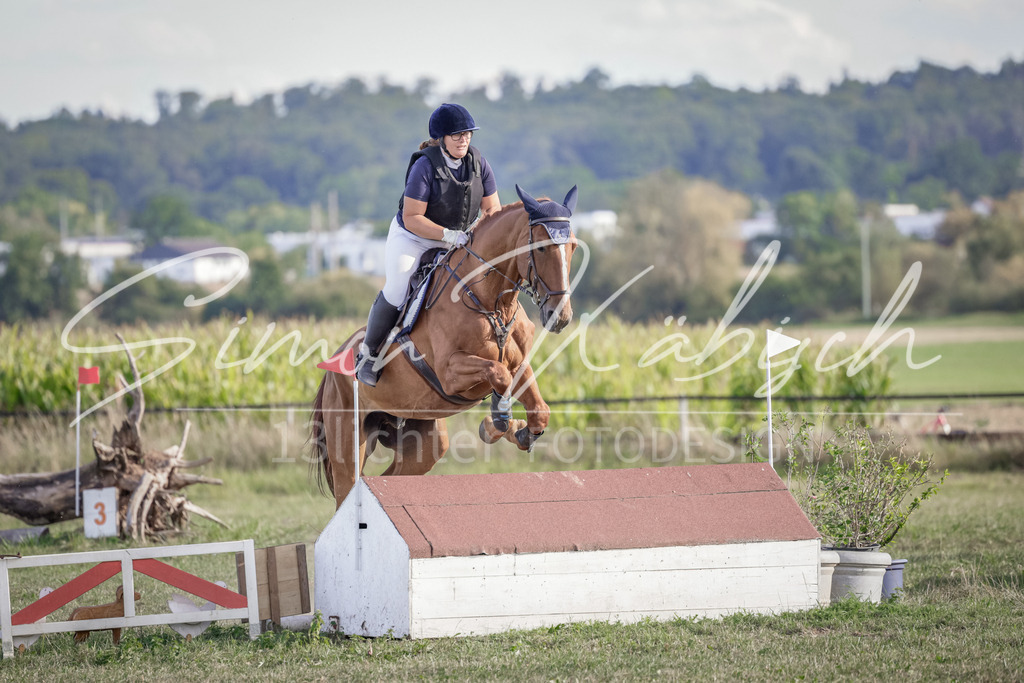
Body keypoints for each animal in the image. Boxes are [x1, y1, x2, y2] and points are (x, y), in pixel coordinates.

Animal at [310, 185, 580, 508]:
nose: (560, 317)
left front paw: (517, 431)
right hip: (348, 441)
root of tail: (332, 366)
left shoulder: (519, 365)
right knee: (348, 487)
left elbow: (539, 409)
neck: (491, 303)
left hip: (423, 440)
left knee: (390, 476)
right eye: (540, 248)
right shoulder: (451, 373)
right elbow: (498, 374)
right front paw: (497, 422)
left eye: (573, 247)